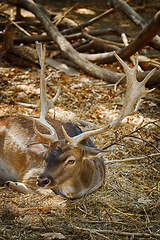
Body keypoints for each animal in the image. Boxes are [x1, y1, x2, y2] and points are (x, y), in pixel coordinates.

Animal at [0, 42, 156, 199]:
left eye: (71, 160)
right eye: (45, 157)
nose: (42, 180)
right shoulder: (29, 173)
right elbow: (50, 193)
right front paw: (12, 183)